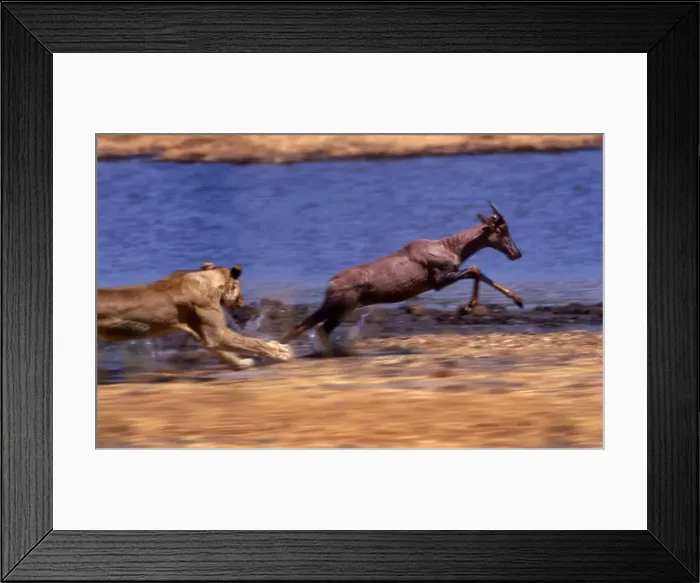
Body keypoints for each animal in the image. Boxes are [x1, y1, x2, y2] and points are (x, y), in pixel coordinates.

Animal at [97, 262, 293, 370]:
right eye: (238, 286)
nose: (241, 301)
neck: (207, 279)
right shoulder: (216, 333)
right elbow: (253, 342)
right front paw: (279, 350)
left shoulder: (205, 334)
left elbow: (225, 353)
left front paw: (243, 363)